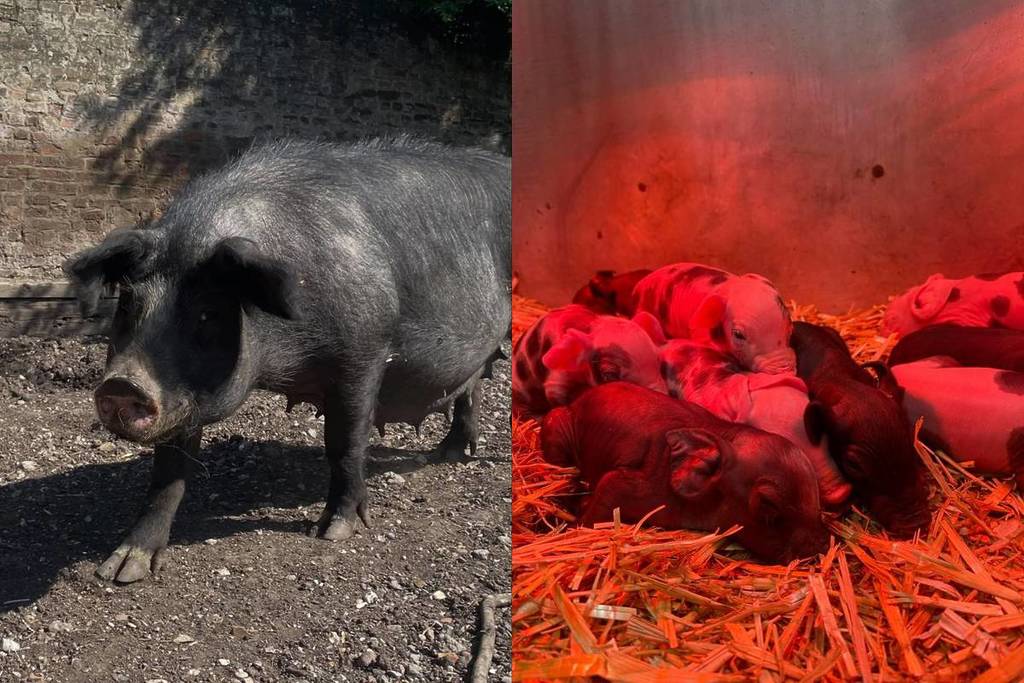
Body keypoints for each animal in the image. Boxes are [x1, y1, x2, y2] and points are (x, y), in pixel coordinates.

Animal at [63, 138, 510, 583]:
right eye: (128, 304)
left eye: (207, 313)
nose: (122, 384)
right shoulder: (182, 400)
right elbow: (167, 473)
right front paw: (121, 570)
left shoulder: (365, 350)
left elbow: (345, 443)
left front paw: (333, 532)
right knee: (473, 386)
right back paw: (449, 454)